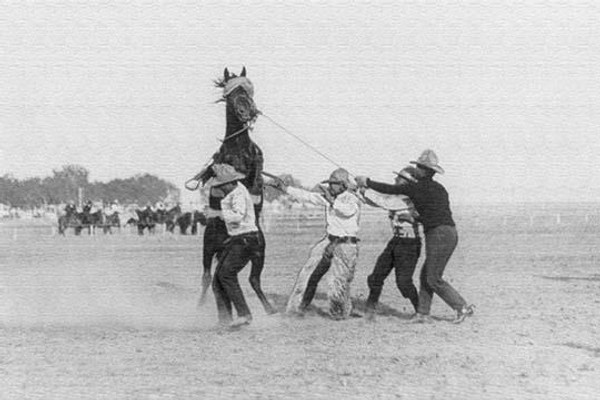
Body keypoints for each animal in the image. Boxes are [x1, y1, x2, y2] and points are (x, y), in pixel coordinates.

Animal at [196, 67, 276, 314]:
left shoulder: (255, 170)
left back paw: (269, 308)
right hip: (208, 245)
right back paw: (199, 306)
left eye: (247, 91)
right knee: (206, 276)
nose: (246, 112)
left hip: (259, 250)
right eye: (231, 95)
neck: (239, 149)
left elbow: (255, 183)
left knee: (253, 279)